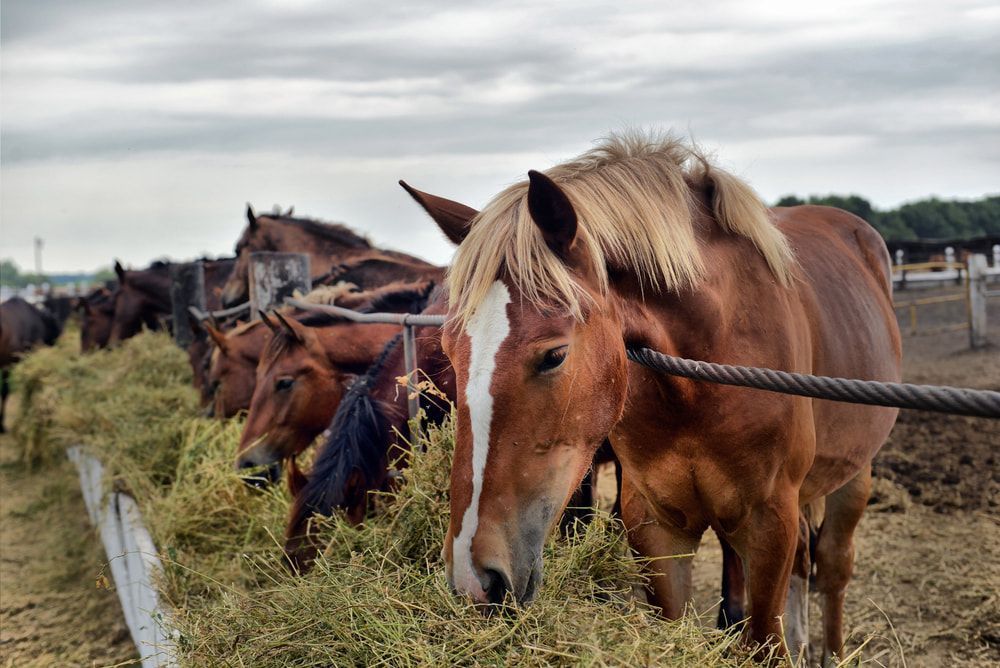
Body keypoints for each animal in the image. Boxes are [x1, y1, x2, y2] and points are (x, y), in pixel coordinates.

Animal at [407, 131, 901, 662]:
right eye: (449, 350)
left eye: (554, 355)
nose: (473, 579)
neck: (705, 374)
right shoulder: (656, 525)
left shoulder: (770, 523)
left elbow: (764, 640)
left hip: (855, 474)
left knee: (832, 568)